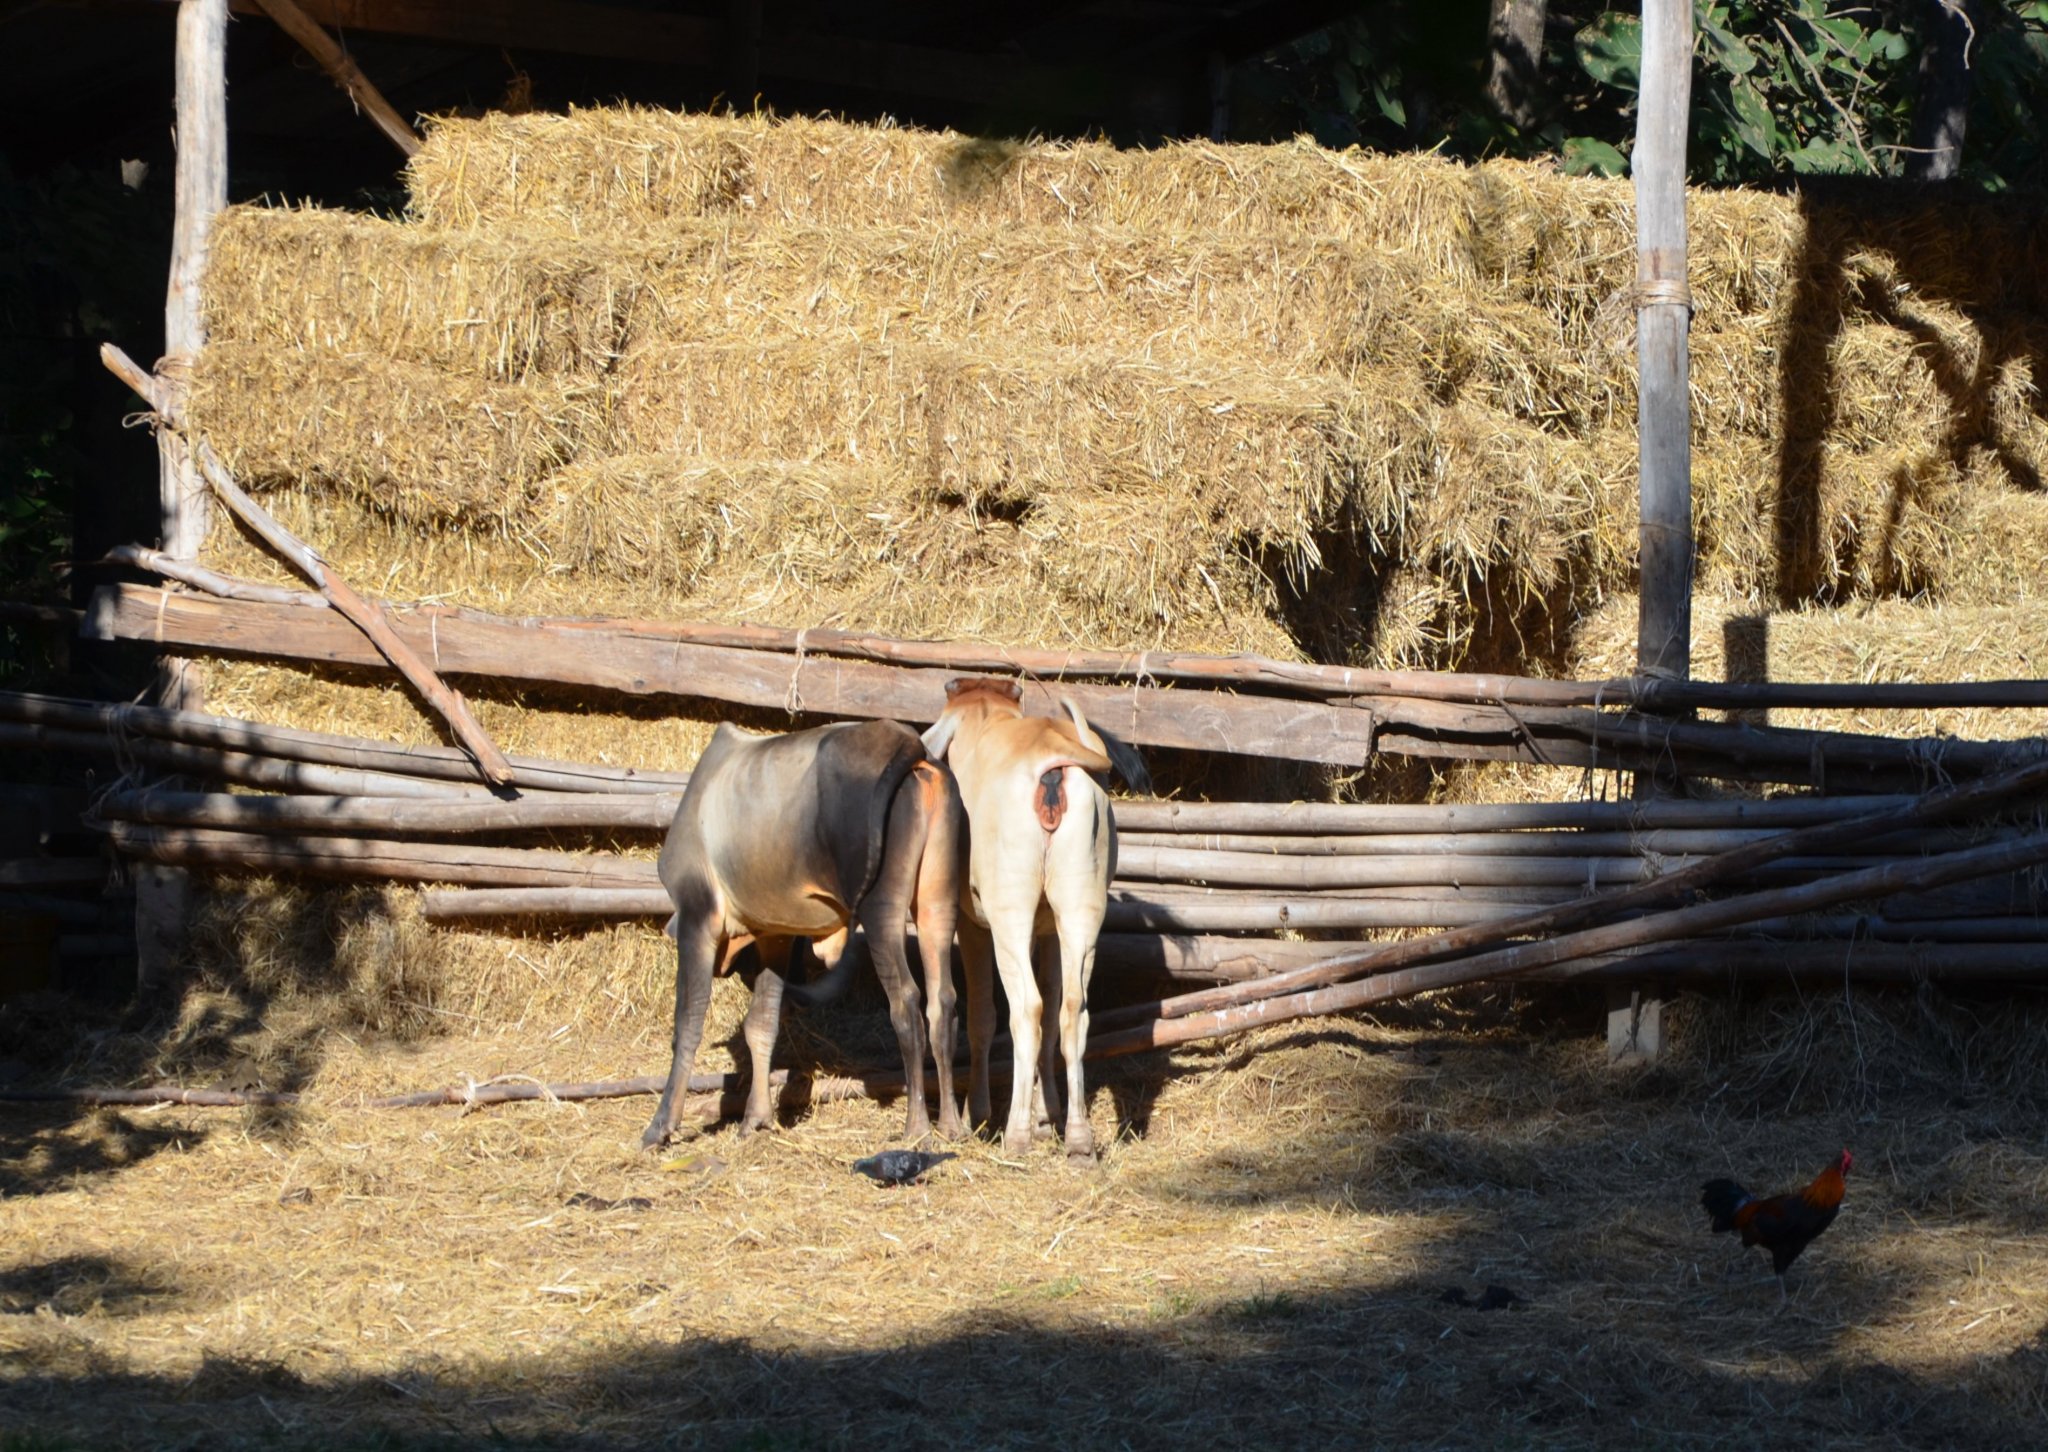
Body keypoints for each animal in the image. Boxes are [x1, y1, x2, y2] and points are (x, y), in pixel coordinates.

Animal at [641, 718, 964, 1150]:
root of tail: (911, 745)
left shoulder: (697, 913)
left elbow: (688, 1025)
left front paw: (661, 1126)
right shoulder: (774, 934)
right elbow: (761, 1025)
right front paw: (756, 1119)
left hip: (882, 906)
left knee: (906, 1004)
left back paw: (917, 1129)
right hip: (937, 902)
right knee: (942, 1001)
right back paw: (951, 1125)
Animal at [921, 677, 1145, 1161]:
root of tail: (1051, 762)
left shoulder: (974, 924)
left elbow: (982, 1016)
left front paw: (981, 1113)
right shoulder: (1050, 931)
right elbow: (1056, 1007)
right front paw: (1047, 1116)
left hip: (1010, 911)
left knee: (1026, 1008)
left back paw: (1016, 1134)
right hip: (1080, 907)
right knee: (1072, 1010)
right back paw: (1078, 1140)